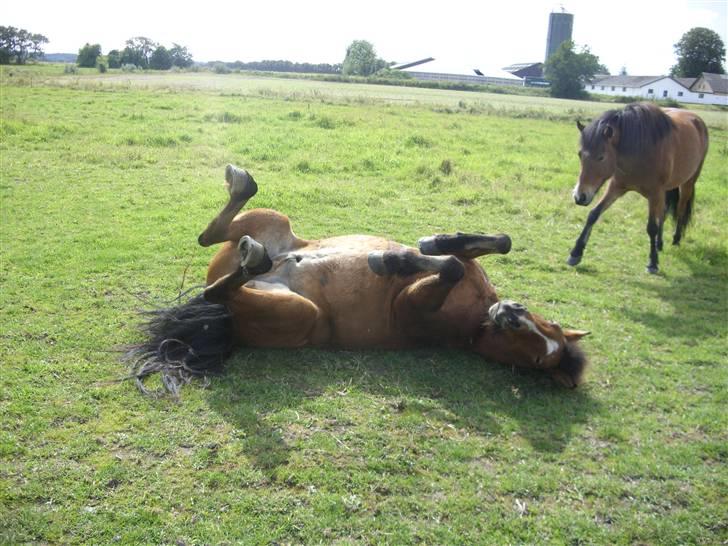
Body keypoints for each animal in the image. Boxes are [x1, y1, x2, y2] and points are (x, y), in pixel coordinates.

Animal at [126, 164, 592, 394]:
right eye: (547, 325)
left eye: (539, 360)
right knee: (211, 236)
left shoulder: (411, 310)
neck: (476, 316)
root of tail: (226, 324)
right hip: (274, 222)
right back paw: (242, 188)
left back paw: (253, 259)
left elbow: (449, 266)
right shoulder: (468, 268)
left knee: (219, 287)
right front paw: (430, 241)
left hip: (298, 312)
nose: (509, 313)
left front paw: (391, 260)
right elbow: (487, 245)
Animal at [568, 102, 712, 272]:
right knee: (663, 213)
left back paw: (675, 240)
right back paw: (659, 243)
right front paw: (576, 252)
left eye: (601, 157)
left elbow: (651, 227)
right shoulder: (616, 187)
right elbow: (593, 214)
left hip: (687, 183)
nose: (579, 196)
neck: (639, 151)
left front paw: (653, 262)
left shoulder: (654, 193)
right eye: (580, 154)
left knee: (680, 209)